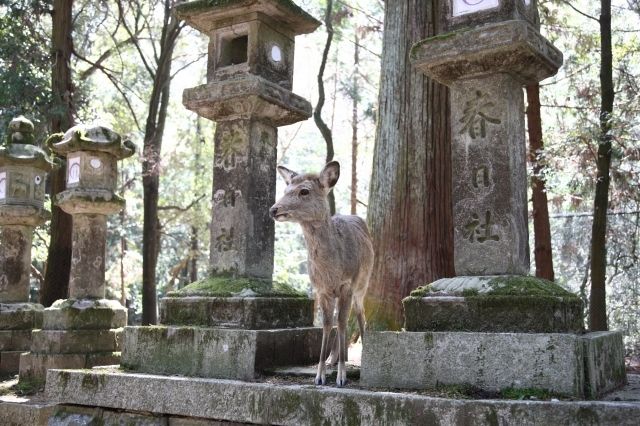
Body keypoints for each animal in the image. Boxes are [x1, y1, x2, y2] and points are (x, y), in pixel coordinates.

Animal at [270, 161, 376, 388]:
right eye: (285, 190)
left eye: (304, 191)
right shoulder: (321, 290)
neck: (331, 271)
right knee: (338, 319)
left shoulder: (347, 285)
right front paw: (319, 375)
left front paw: (341, 377)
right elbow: (327, 324)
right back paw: (332, 359)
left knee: (360, 313)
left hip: (363, 284)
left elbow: (343, 322)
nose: (274, 209)